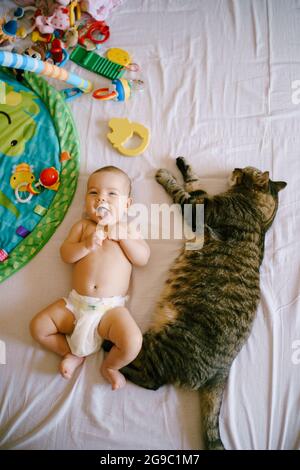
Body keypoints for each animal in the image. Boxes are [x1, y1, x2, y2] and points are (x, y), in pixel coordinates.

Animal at [120, 159, 286, 452]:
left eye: (246, 169)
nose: (236, 167)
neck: (262, 217)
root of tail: (223, 370)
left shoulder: (200, 209)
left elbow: (180, 191)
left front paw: (166, 175)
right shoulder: (202, 198)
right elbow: (194, 182)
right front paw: (183, 165)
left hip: (166, 343)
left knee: (150, 378)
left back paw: (109, 353)